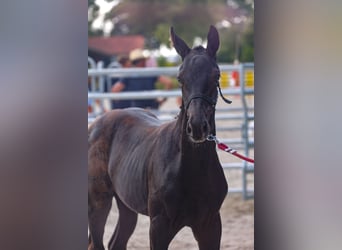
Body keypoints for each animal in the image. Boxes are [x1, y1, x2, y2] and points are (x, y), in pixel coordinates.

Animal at [88, 25, 228, 250]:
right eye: (180, 77)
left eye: (216, 76)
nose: (197, 127)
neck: (187, 167)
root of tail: (96, 124)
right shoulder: (159, 226)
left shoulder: (210, 225)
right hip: (98, 201)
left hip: (126, 204)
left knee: (117, 242)